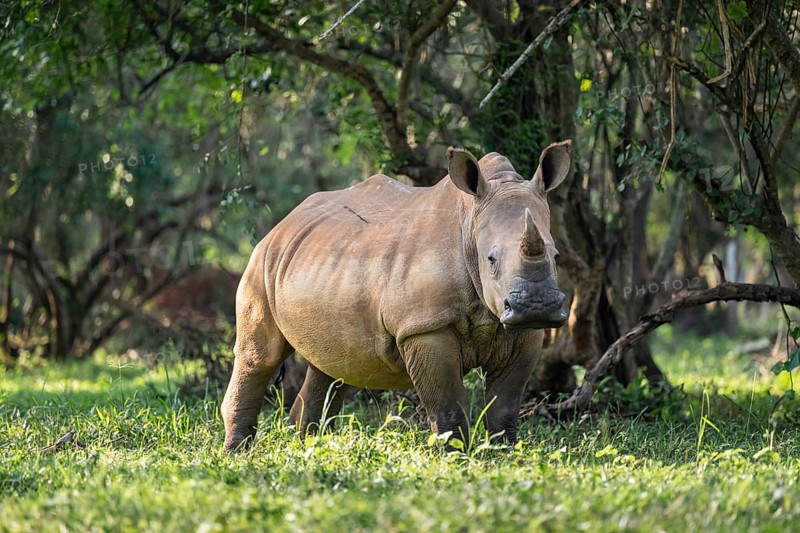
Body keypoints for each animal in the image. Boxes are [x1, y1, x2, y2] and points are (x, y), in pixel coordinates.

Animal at [222, 141, 573, 450]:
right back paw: (238, 452)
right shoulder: (424, 326)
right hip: (261, 262)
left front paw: (504, 456)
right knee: (260, 356)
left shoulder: (525, 333)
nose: (536, 306)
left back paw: (308, 446)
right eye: (491, 259)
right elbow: (449, 407)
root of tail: (284, 221)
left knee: (331, 367)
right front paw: (455, 459)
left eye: (556, 256)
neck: (469, 223)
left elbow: (505, 409)